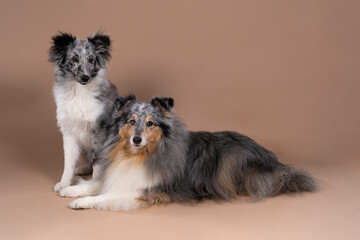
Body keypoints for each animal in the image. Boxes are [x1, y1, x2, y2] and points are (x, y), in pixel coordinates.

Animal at [47, 32, 117, 193]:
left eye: (91, 60)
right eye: (74, 59)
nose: (85, 77)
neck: (78, 91)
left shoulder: (99, 132)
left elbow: (98, 163)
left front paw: (94, 184)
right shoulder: (69, 132)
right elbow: (68, 162)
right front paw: (64, 183)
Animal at [62, 94, 318, 211]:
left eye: (150, 123)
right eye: (132, 121)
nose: (137, 139)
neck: (139, 156)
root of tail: (274, 161)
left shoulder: (145, 192)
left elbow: (104, 196)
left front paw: (81, 201)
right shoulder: (119, 176)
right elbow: (97, 184)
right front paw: (69, 189)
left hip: (232, 157)